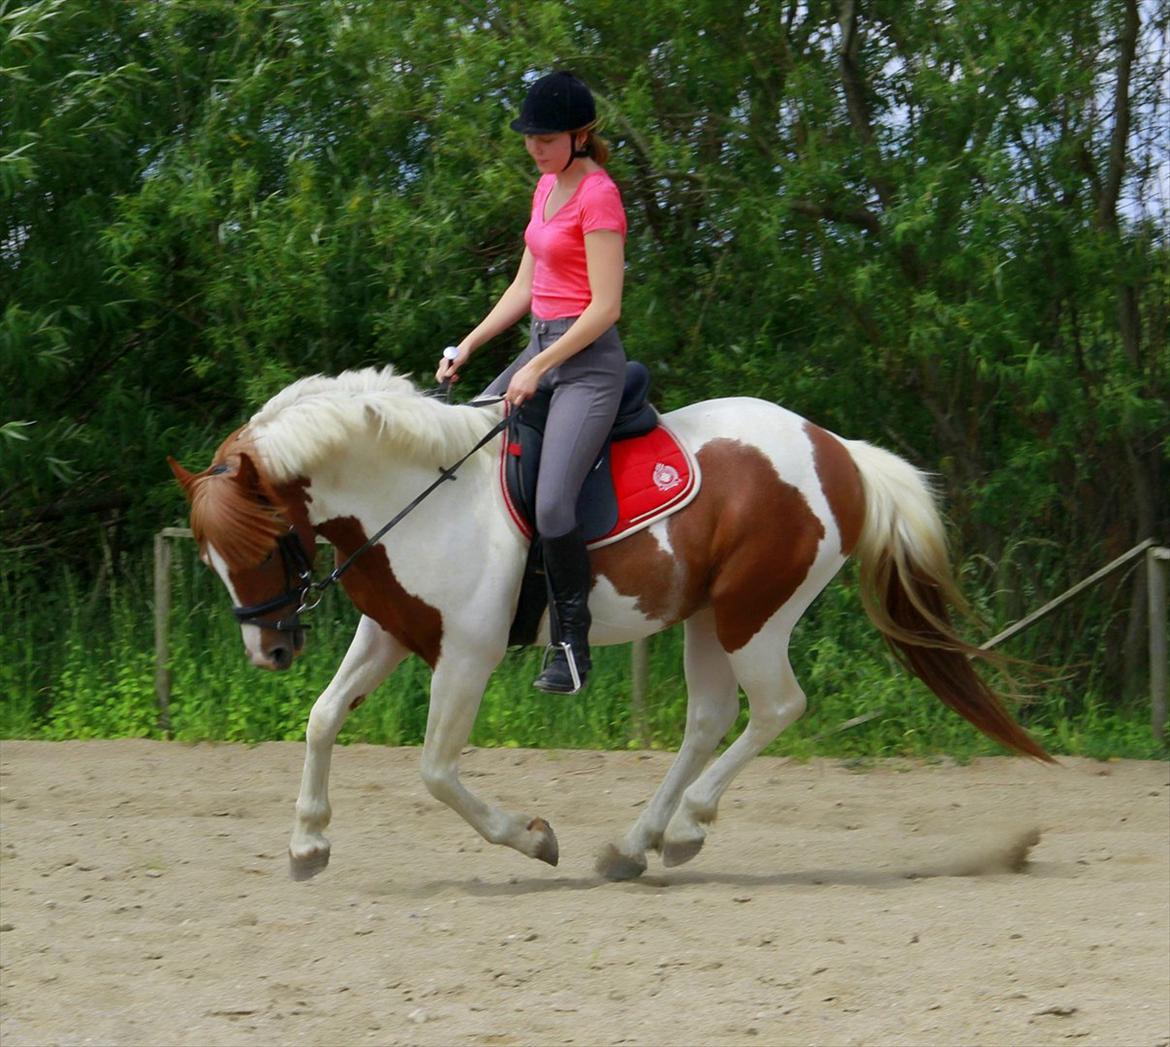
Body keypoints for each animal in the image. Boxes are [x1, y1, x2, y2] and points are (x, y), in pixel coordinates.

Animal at [167, 369, 1053, 884]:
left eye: (264, 543)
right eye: (212, 555)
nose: (270, 649)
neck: (420, 493)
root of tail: (837, 450)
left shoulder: (467, 657)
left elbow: (436, 770)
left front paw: (533, 837)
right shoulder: (389, 633)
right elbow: (322, 719)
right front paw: (307, 844)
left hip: (754, 614)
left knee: (776, 708)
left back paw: (686, 827)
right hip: (707, 617)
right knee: (709, 718)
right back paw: (639, 842)